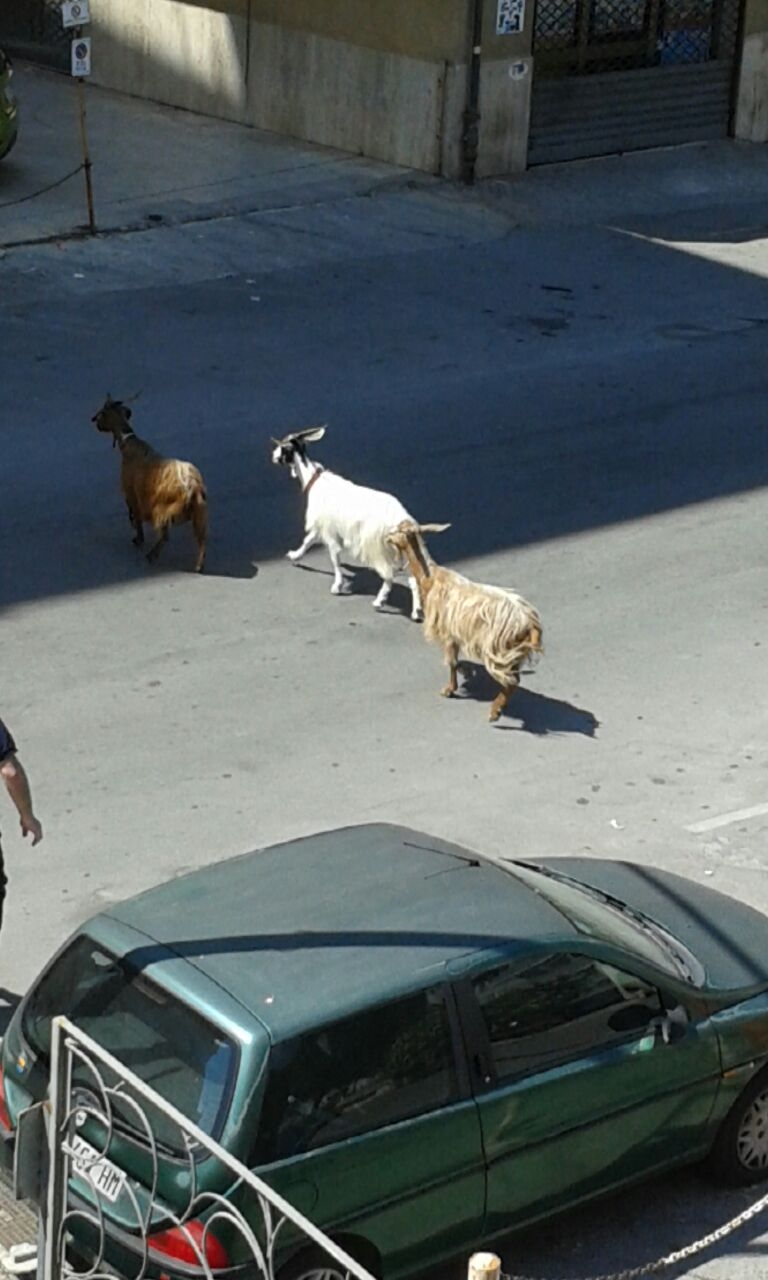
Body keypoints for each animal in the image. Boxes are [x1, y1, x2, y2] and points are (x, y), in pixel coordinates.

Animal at [91, 389, 208, 570]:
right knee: (201, 540)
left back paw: (151, 555)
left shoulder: (132, 495)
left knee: (165, 536)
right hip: (200, 514)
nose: (95, 423)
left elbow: (137, 519)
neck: (128, 443)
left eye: (102, 413)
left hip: (162, 511)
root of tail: (193, 488)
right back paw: (198, 565)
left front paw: (138, 539)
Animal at [271, 424, 419, 619]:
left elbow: (334, 558)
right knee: (412, 578)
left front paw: (337, 586)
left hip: (377, 545)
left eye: (282, 447)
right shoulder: (321, 526)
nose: (272, 456)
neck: (315, 481)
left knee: (389, 574)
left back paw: (379, 602)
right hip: (401, 547)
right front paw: (295, 555)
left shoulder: (329, 531)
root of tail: (400, 518)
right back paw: (416, 612)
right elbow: (308, 540)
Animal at [381, 517, 540, 721]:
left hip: (499, 649)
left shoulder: (447, 633)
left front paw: (449, 690)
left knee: (512, 680)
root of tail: (530, 622)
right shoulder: (455, 634)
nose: (387, 537)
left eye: (400, 530)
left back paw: (495, 711)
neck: (430, 577)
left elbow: (452, 663)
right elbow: (455, 662)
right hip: (513, 652)